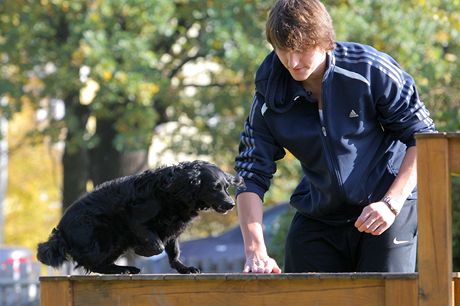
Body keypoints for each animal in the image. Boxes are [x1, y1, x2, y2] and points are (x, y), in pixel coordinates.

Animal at [36, 160, 244, 274]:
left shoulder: (172, 230)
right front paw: (141, 251)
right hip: (105, 237)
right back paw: (124, 269)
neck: (175, 189)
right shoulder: (137, 223)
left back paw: (124, 269)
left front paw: (184, 268)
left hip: (115, 244)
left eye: (226, 187)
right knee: (93, 263)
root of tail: (61, 230)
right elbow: (156, 245)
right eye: (214, 188)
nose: (231, 204)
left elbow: (173, 252)